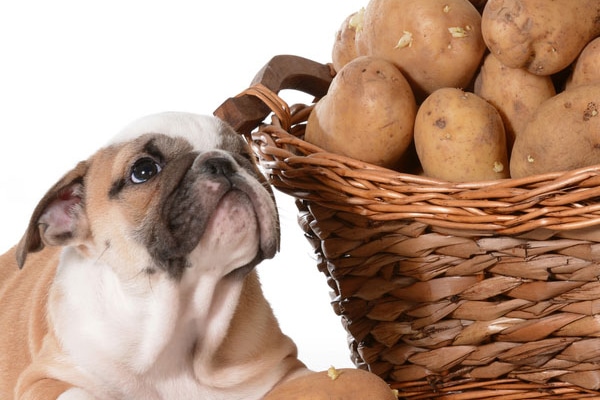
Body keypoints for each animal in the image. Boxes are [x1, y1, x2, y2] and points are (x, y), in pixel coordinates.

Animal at [0, 113, 308, 400]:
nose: (221, 162)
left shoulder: (286, 369)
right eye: (144, 170)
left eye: (245, 156)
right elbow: (82, 393)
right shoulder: (44, 378)